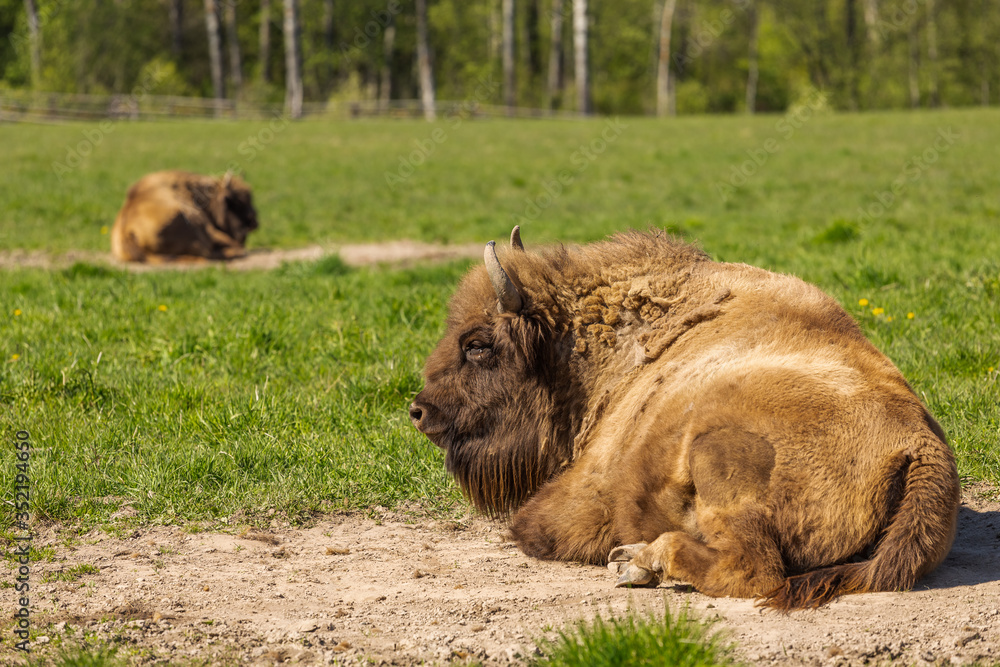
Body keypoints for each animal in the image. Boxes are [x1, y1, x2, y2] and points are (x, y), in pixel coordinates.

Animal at [410, 227, 960, 610]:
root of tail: (919, 446)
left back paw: (638, 561)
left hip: (717, 453)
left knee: (754, 569)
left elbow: (533, 528)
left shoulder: (582, 497)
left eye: (477, 344)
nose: (419, 410)